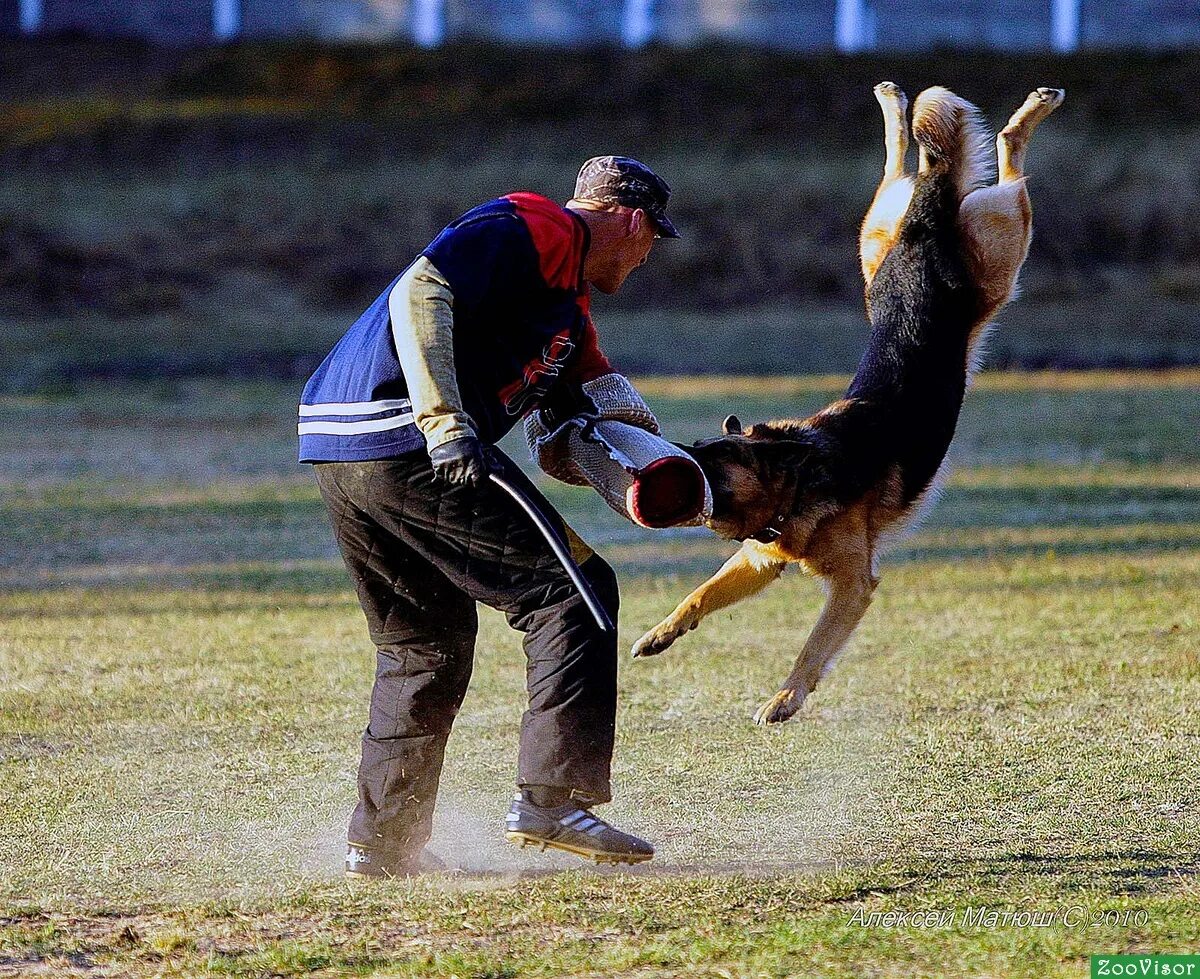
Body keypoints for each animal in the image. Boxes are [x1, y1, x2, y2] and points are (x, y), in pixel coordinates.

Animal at [633, 83, 1065, 724]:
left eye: (710, 460)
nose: (664, 461)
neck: (801, 474)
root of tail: (921, 224)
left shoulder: (852, 586)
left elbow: (813, 645)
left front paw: (785, 698)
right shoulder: (758, 561)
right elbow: (699, 595)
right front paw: (659, 633)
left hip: (1000, 254)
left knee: (1003, 157)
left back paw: (1031, 106)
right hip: (882, 241)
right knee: (906, 160)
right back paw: (895, 102)